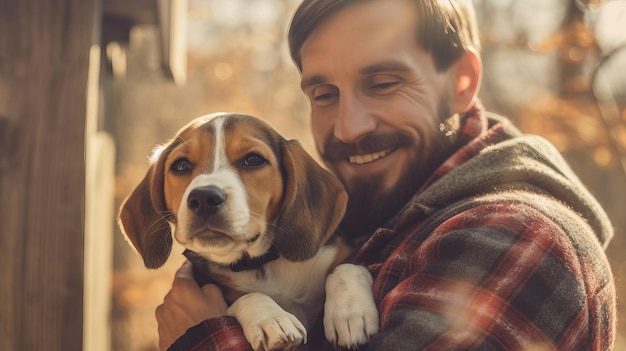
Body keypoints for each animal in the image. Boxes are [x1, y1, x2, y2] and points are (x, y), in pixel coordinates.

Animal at [119, 113, 378, 351]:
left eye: (253, 160)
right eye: (181, 165)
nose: (203, 198)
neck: (261, 262)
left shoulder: (340, 252)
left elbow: (346, 268)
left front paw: (351, 312)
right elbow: (246, 296)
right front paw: (270, 318)